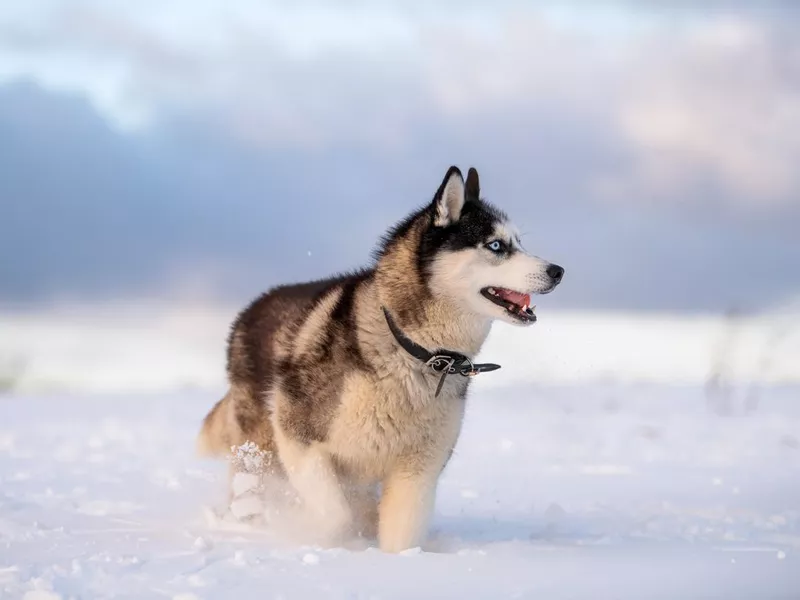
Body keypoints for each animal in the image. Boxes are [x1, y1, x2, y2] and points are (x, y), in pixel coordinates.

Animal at [198, 164, 564, 552]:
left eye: (519, 242)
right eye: (496, 245)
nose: (558, 271)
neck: (418, 352)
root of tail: (251, 309)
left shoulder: (416, 471)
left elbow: (401, 538)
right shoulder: (299, 438)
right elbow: (336, 516)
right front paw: (320, 538)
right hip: (262, 452)